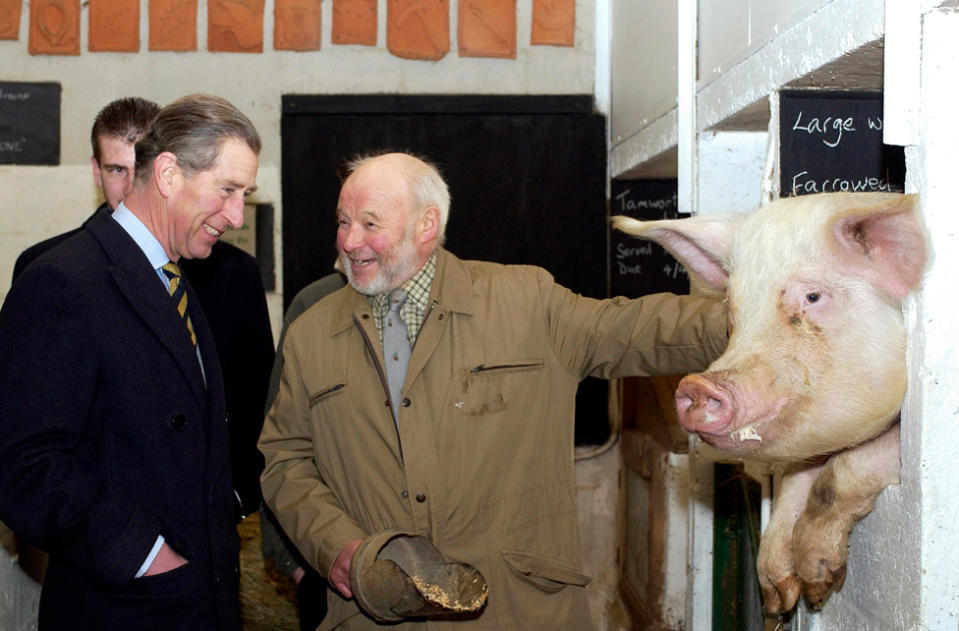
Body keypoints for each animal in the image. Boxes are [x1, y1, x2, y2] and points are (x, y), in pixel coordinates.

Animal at [616, 191, 928, 612]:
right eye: (731, 310)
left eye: (812, 296)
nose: (697, 386)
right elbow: (796, 478)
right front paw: (782, 596)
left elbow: (842, 471)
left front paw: (818, 585)